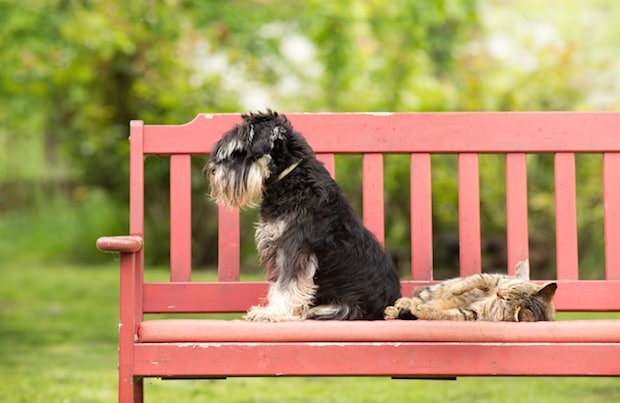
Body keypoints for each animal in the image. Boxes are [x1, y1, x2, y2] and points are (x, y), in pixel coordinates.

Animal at [207, 110, 402, 322]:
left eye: (239, 152)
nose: (212, 171)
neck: (291, 179)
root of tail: (391, 306)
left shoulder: (294, 246)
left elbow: (287, 283)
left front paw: (275, 313)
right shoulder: (279, 247)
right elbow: (278, 284)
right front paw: (270, 310)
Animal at [386, 260, 556, 324]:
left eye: (506, 300)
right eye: (509, 290)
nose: (498, 293)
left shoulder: (471, 313)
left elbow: (444, 313)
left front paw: (423, 310)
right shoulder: (495, 279)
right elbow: (475, 279)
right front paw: (456, 289)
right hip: (433, 290)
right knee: (415, 298)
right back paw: (398, 306)